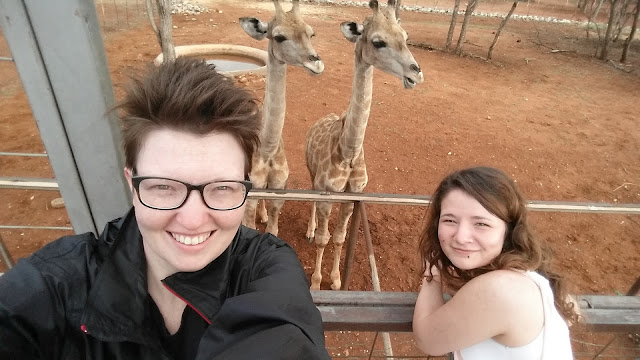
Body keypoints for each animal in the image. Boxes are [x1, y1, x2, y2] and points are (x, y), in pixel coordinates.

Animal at [239, 0, 324, 236]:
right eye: (279, 36)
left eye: (311, 33)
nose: (316, 64)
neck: (267, 150)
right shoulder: (251, 194)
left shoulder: (279, 190)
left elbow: (273, 229)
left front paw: (267, 217)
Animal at [304, 0, 422, 290]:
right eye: (378, 42)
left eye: (405, 37)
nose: (416, 74)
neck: (348, 151)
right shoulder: (327, 193)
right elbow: (324, 239)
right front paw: (316, 284)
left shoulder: (352, 195)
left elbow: (339, 237)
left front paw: (336, 281)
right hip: (312, 175)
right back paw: (310, 230)